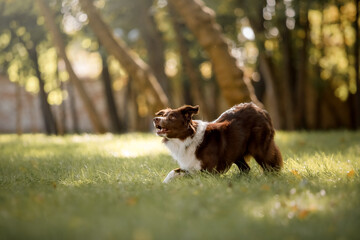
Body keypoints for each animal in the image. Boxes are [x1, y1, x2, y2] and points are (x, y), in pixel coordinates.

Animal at [153, 102, 282, 183]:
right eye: (164, 115)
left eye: (172, 117)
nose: (155, 119)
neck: (187, 139)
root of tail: (259, 108)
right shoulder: (190, 165)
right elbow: (173, 172)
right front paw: (163, 185)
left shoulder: (209, 171)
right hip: (236, 151)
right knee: (246, 168)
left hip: (260, 149)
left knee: (271, 165)